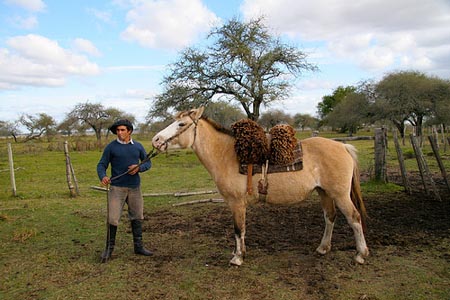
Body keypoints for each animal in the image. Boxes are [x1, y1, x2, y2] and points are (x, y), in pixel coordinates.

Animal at [151, 107, 370, 264]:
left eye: (181, 123)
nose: (156, 140)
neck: (228, 155)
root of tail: (343, 146)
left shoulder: (236, 203)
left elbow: (238, 229)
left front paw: (237, 258)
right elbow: (241, 230)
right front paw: (240, 252)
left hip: (340, 194)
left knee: (354, 218)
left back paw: (361, 254)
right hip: (324, 192)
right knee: (329, 217)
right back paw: (323, 248)